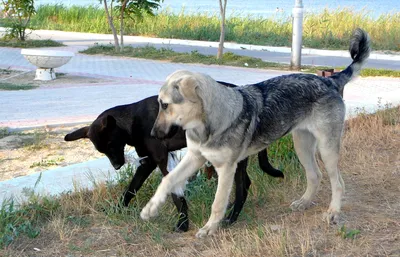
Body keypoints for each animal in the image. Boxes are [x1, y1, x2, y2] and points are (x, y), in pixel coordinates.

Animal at [65, 94, 282, 230]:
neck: (133, 120)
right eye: (101, 150)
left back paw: (231, 217)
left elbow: (176, 196)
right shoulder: (147, 162)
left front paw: (183, 223)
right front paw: (118, 208)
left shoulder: (161, 160)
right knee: (245, 183)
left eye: (111, 144)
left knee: (242, 185)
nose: (117, 166)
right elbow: (132, 187)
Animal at [140, 27, 368, 236]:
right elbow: (168, 180)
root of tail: (329, 80)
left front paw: (210, 228)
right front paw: (150, 208)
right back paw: (304, 202)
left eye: (165, 105)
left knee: (338, 183)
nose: (152, 134)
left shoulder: (226, 169)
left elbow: (218, 203)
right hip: (302, 145)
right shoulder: (195, 157)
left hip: (326, 149)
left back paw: (333, 212)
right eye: (159, 104)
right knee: (315, 175)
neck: (208, 125)